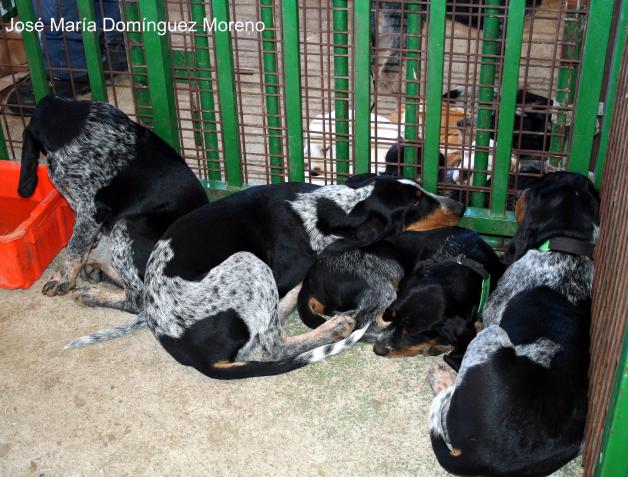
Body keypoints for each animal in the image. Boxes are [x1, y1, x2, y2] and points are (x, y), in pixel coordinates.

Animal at [18, 96, 208, 313]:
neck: (73, 122)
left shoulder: (89, 209)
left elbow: (75, 248)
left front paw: (63, 280)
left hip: (125, 226)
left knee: (138, 299)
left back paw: (91, 295)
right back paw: (96, 272)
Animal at [427, 171, 599, 476]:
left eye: (537, 185)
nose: (518, 192)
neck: (568, 250)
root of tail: (485, 459)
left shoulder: (493, 311)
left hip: (491, 336)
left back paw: (442, 379)